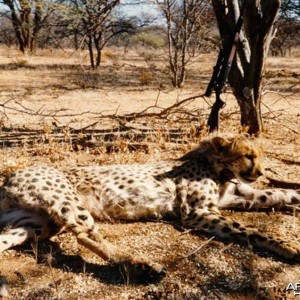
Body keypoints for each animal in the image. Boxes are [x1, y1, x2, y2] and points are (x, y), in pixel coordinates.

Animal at [0, 135, 300, 276]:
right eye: (248, 156)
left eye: (258, 156)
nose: (260, 172)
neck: (216, 166)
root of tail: (9, 178)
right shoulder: (197, 213)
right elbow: (248, 230)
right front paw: (286, 246)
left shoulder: (238, 196)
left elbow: (276, 194)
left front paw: (290, 200)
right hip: (66, 203)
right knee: (86, 235)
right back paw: (141, 265)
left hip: (36, 225)